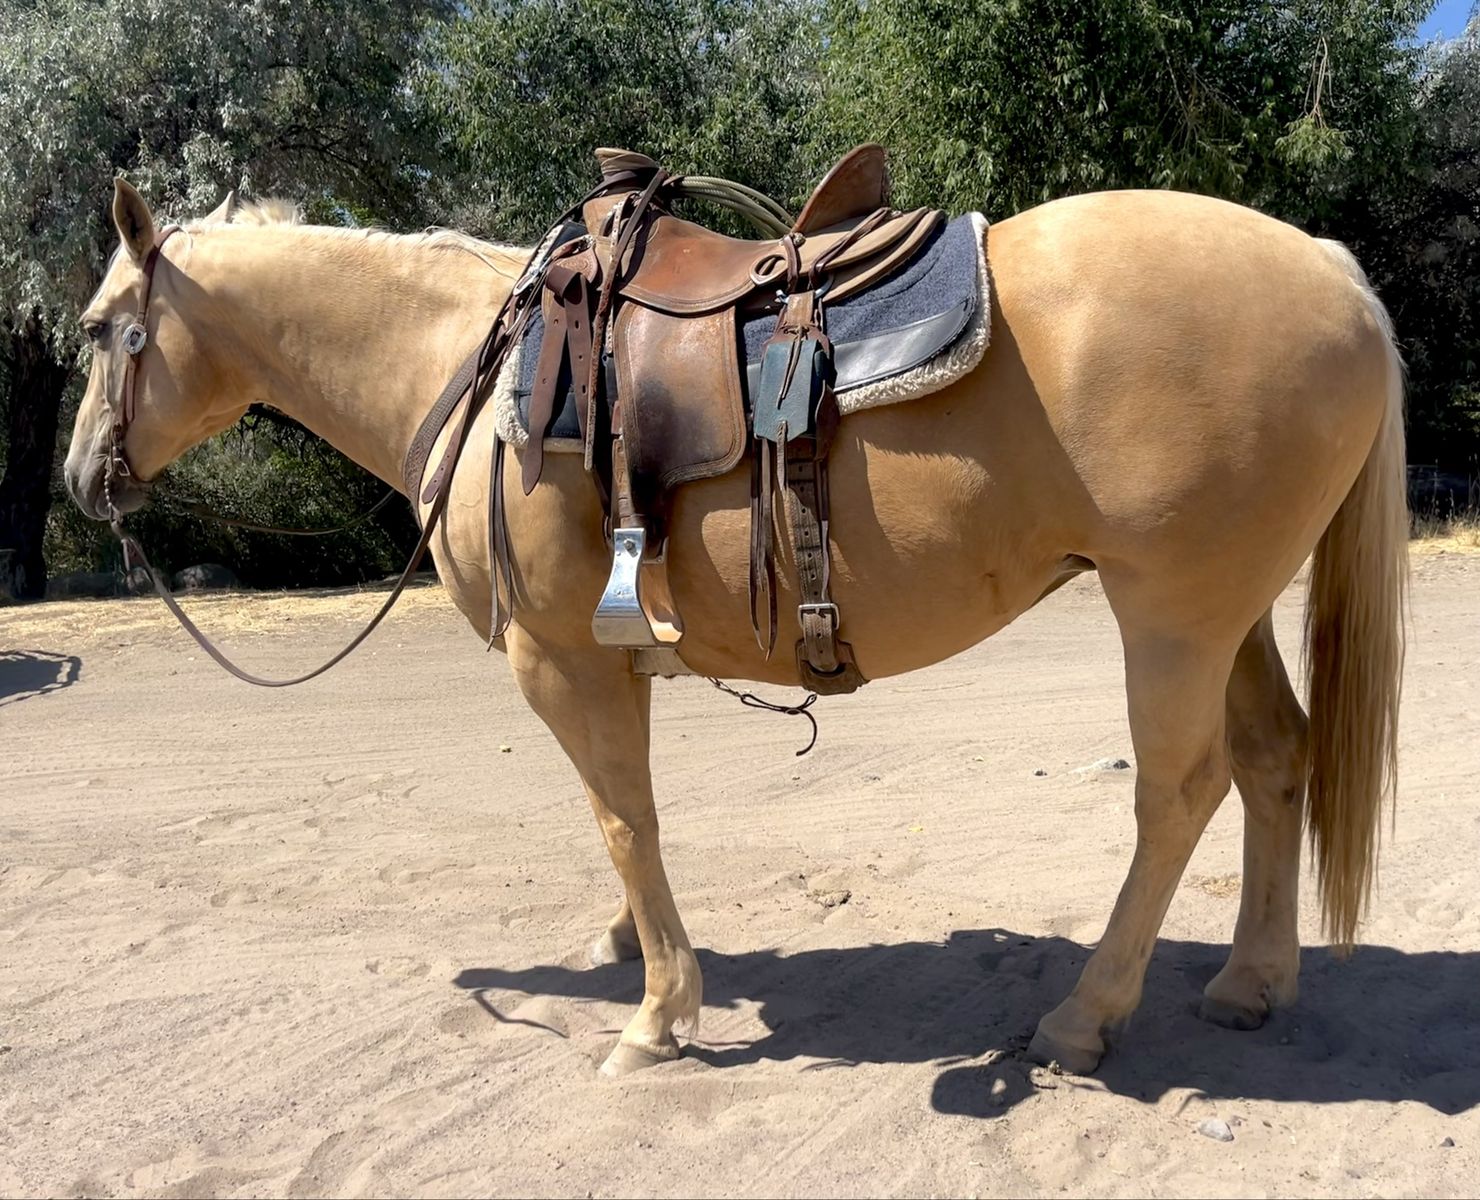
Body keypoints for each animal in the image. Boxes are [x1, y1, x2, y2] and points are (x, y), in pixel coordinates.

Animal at [64, 176, 1406, 1077]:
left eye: (93, 330)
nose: (80, 479)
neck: (479, 374)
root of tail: (1330, 269)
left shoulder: (558, 660)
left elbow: (621, 817)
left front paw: (660, 1014)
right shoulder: (614, 658)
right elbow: (626, 814)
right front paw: (631, 950)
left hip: (1171, 613)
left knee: (1178, 792)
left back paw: (1088, 1014)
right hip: (1228, 610)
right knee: (1274, 760)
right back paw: (1248, 982)